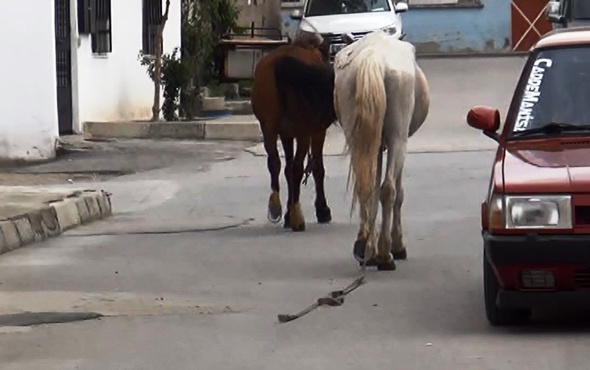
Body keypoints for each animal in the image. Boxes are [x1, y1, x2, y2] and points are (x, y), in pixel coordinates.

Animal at [251, 33, 338, 233]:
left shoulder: (286, 134)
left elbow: (287, 168)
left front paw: (287, 215)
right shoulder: (317, 131)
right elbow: (317, 168)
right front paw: (322, 210)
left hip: (268, 128)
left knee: (275, 163)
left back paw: (277, 208)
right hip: (303, 131)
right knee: (298, 167)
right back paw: (298, 218)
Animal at [336, 30, 432, 270]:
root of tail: (373, 56)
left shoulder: (374, 144)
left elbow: (371, 185)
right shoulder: (396, 143)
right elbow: (397, 191)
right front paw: (397, 246)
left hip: (357, 135)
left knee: (365, 187)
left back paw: (366, 248)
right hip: (399, 139)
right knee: (389, 188)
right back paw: (384, 254)